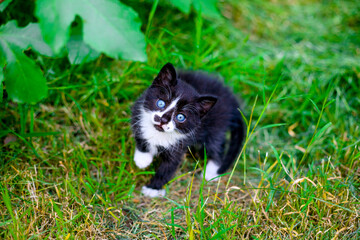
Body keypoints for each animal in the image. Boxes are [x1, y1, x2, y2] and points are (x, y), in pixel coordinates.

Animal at [131, 62, 246, 198]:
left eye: (180, 117)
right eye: (160, 103)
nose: (163, 120)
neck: (159, 133)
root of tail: (232, 101)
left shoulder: (180, 146)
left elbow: (168, 167)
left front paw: (153, 188)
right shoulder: (137, 110)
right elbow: (139, 135)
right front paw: (142, 158)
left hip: (216, 126)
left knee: (216, 147)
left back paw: (211, 172)